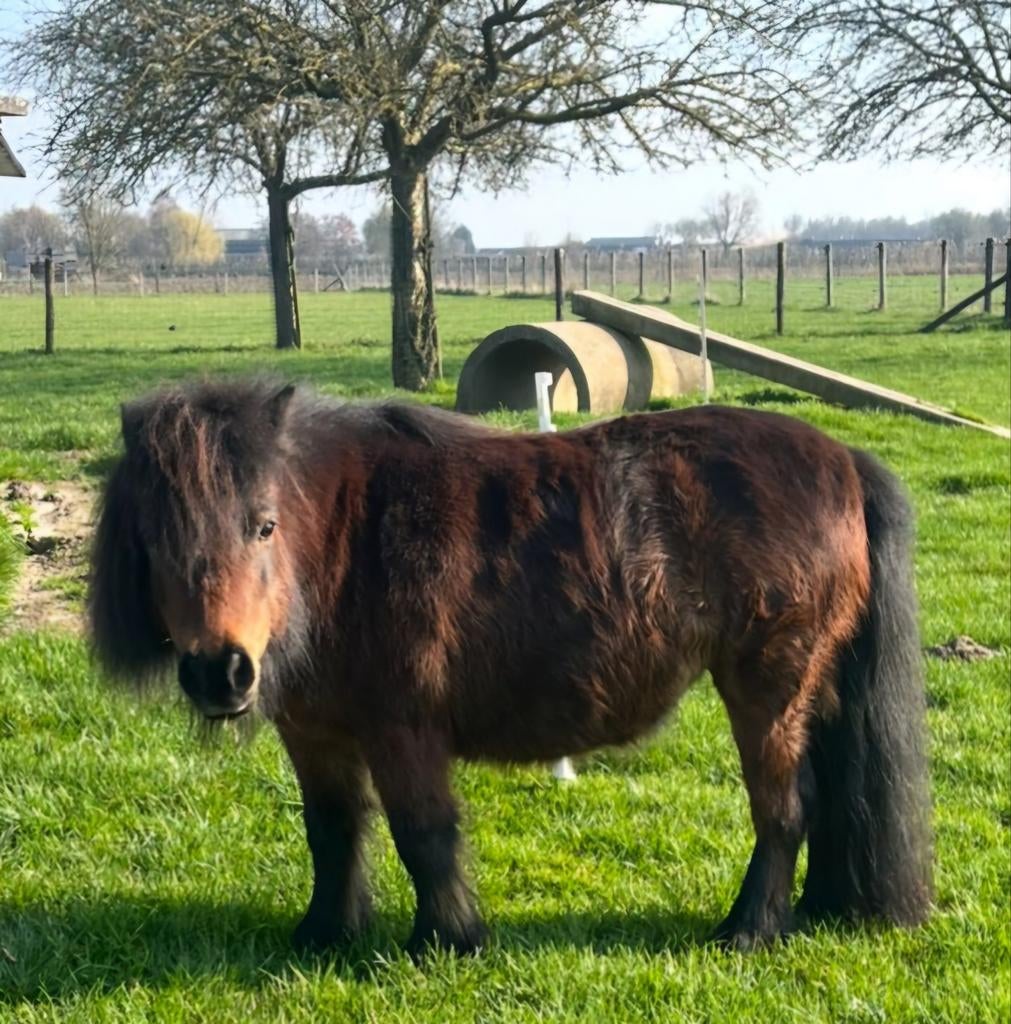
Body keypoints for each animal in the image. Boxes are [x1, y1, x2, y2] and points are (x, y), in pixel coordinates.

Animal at [89, 378, 932, 956]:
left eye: (262, 526)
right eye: (154, 540)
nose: (220, 673)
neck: (341, 544)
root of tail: (842, 460)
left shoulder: (402, 729)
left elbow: (423, 832)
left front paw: (445, 939)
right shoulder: (314, 733)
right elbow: (330, 831)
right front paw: (325, 934)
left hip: (767, 684)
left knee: (783, 808)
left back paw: (749, 929)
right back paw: (813, 909)